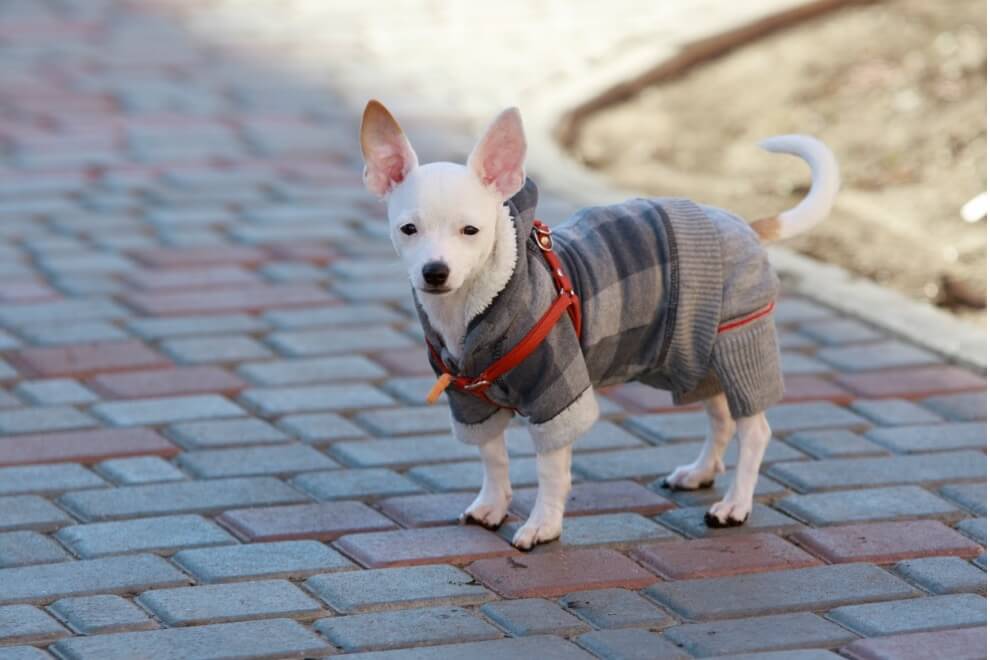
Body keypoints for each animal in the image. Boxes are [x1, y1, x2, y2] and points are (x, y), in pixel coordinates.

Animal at [360, 99, 840, 552]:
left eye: (471, 231)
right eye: (408, 229)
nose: (435, 272)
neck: (467, 313)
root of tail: (746, 225)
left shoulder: (555, 393)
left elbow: (551, 471)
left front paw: (542, 526)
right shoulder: (470, 401)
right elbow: (493, 456)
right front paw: (492, 505)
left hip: (740, 343)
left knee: (754, 430)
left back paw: (735, 504)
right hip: (697, 357)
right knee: (721, 417)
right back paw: (701, 472)